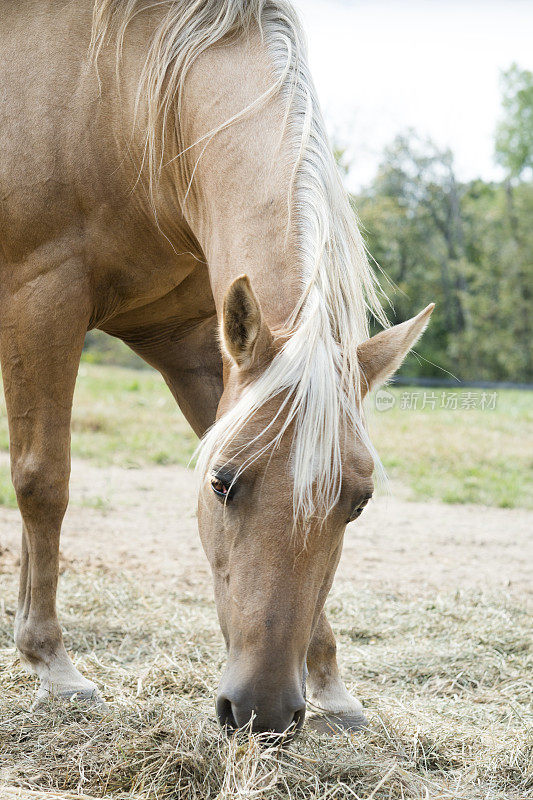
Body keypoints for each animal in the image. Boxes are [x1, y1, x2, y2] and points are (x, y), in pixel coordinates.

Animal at [0, 0, 432, 736]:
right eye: (222, 484)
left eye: (359, 502)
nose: (262, 710)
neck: (124, 95)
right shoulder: (41, 296)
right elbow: (43, 480)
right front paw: (54, 668)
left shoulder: (198, 343)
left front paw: (330, 685)